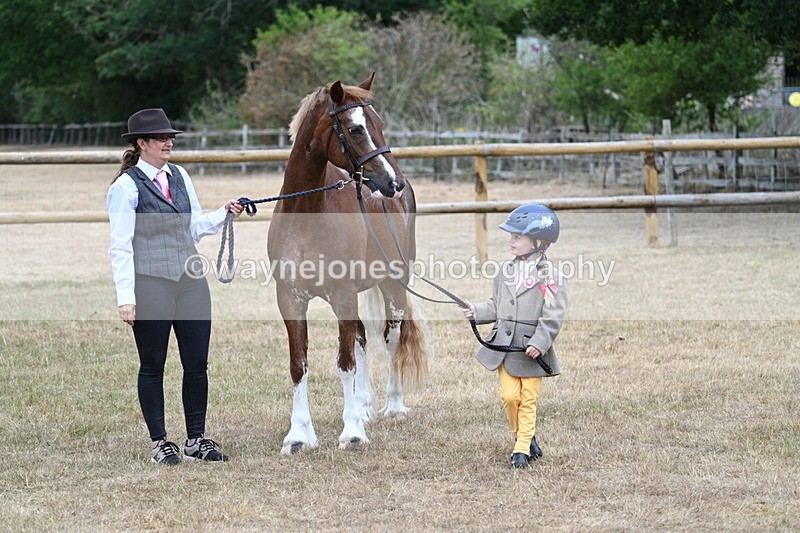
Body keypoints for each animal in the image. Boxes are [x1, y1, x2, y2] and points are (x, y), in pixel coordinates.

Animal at [267, 73, 429, 454]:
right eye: (355, 128)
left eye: (380, 124)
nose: (393, 182)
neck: (307, 217)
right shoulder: (290, 299)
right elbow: (300, 365)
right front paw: (299, 435)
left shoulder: (342, 295)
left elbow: (344, 363)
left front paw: (352, 432)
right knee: (363, 341)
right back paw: (364, 406)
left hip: (393, 285)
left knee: (389, 338)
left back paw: (393, 406)